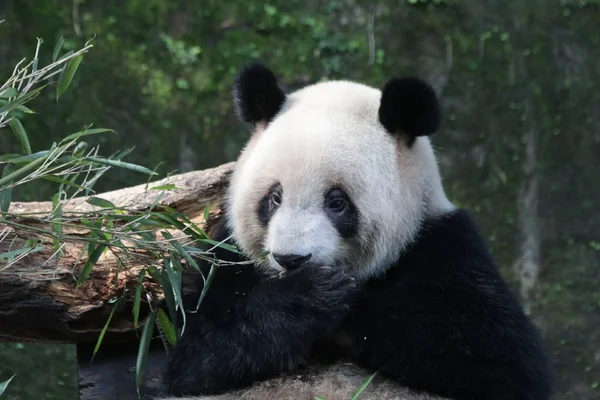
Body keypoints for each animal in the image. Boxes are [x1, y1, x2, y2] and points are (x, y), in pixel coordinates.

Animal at [158, 64, 552, 398]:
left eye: (337, 202)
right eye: (274, 197)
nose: (290, 259)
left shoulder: (444, 243)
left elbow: (500, 356)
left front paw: (341, 298)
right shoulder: (225, 258)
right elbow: (191, 352)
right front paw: (310, 295)